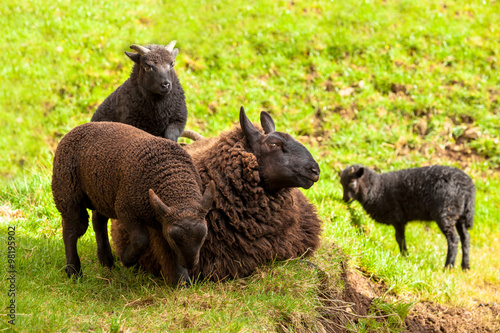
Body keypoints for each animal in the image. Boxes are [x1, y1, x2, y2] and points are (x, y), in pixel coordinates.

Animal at [51, 120, 215, 282]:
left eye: (203, 238)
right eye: (175, 240)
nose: (190, 265)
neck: (176, 183)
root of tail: (73, 130)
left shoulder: (164, 221)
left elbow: (170, 253)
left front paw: (182, 281)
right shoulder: (125, 210)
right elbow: (141, 240)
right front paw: (127, 260)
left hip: (102, 195)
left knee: (98, 222)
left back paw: (107, 262)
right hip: (67, 194)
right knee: (71, 231)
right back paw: (74, 272)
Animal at [340, 165, 476, 268]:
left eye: (351, 182)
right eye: (341, 183)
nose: (345, 200)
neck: (377, 189)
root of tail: (468, 187)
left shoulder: (397, 218)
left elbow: (399, 238)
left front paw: (405, 257)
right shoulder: (399, 220)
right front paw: (405, 256)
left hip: (446, 211)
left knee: (453, 239)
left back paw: (448, 266)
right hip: (459, 215)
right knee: (466, 238)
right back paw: (465, 266)